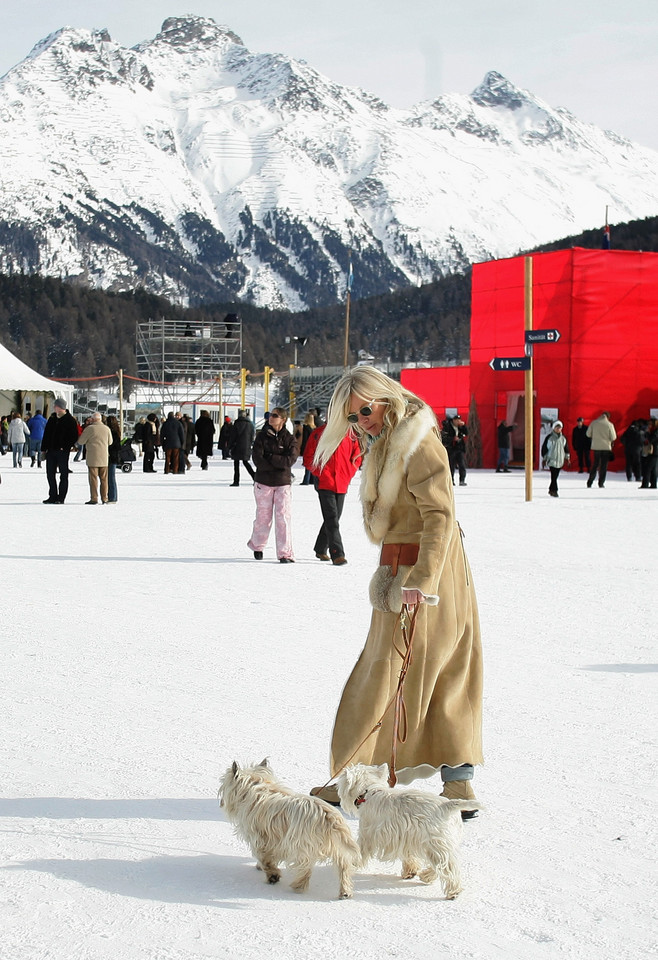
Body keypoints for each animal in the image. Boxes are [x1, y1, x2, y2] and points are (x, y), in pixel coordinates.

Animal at [218, 756, 358, 900]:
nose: (221, 802)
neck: (256, 786)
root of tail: (329, 817)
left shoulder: (260, 838)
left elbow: (264, 858)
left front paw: (272, 875)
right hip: (337, 848)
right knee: (343, 867)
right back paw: (345, 892)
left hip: (302, 847)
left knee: (306, 869)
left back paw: (298, 886)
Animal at [336, 764, 480, 900]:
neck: (370, 791)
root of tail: (447, 807)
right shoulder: (406, 838)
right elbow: (410, 857)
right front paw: (410, 872)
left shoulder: (367, 834)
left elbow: (360, 850)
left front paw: (353, 864)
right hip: (443, 843)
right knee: (443, 864)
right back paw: (426, 876)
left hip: (436, 843)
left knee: (447, 868)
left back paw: (453, 892)